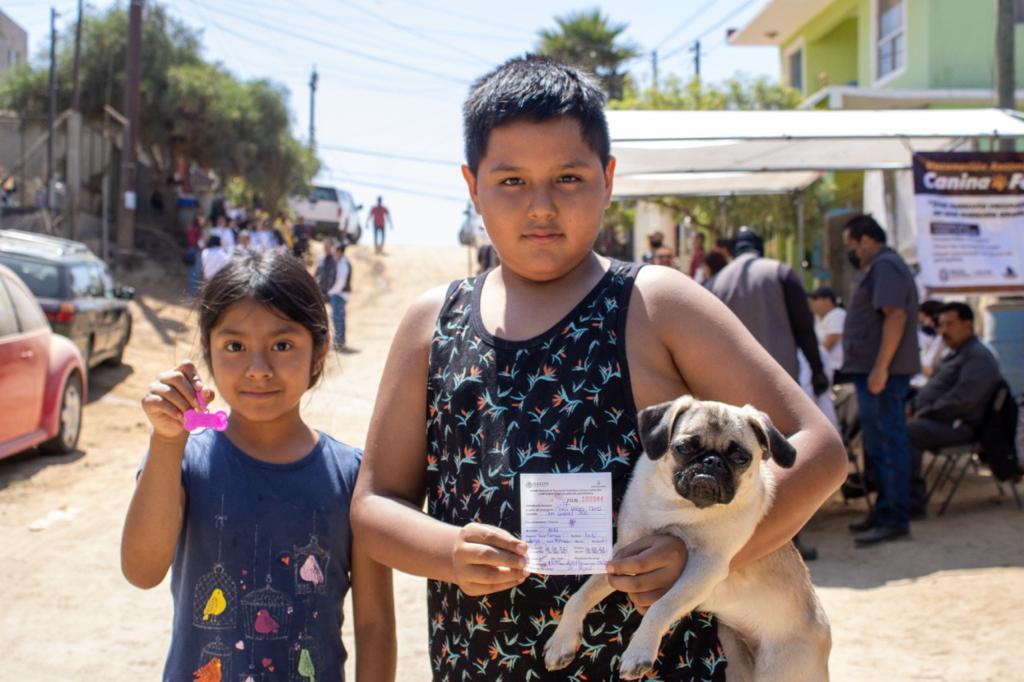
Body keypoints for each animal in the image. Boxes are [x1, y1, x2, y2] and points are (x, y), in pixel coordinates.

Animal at [544, 393, 831, 679]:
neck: (676, 506)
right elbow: (581, 596)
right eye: (683, 448)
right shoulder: (624, 552)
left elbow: (661, 607)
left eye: (741, 457)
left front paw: (639, 652)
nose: (711, 461)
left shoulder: (705, 567)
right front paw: (561, 641)